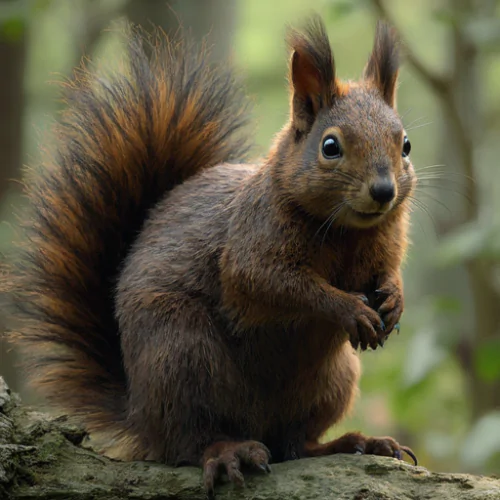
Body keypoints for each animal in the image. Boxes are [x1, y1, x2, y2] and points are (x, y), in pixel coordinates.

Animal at [6, 15, 418, 496]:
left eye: (405, 145)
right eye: (330, 146)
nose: (384, 191)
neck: (346, 233)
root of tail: (140, 415)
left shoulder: (385, 246)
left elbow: (388, 273)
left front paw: (394, 300)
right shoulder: (249, 246)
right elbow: (278, 285)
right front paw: (348, 308)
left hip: (335, 380)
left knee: (294, 444)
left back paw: (357, 443)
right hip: (181, 356)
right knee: (191, 440)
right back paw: (227, 452)